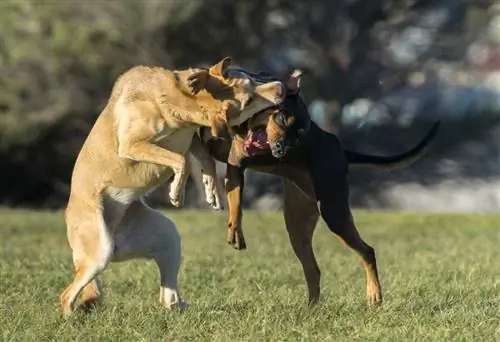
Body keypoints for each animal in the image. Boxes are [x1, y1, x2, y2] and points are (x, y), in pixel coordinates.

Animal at [59, 57, 288, 316]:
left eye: (250, 80)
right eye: (248, 100)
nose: (281, 88)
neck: (174, 99)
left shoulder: (190, 138)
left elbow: (204, 159)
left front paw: (211, 191)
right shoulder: (132, 144)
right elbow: (181, 162)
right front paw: (176, 193)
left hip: (166, 237)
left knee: (166, 293)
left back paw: (178, 307)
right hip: (99, 251)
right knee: (66, 295)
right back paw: (70, 319)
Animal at [197, 69, 440, 308]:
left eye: (299, 135)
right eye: (282, 117)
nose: (282, 149)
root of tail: (343, 152)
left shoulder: (236, 163)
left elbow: (237, 204)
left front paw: (235, 234)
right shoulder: (234, 164)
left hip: (333, 211)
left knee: (366, 251)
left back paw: (373, 296)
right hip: (297, 223)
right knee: (313, 269)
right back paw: (312, 309)